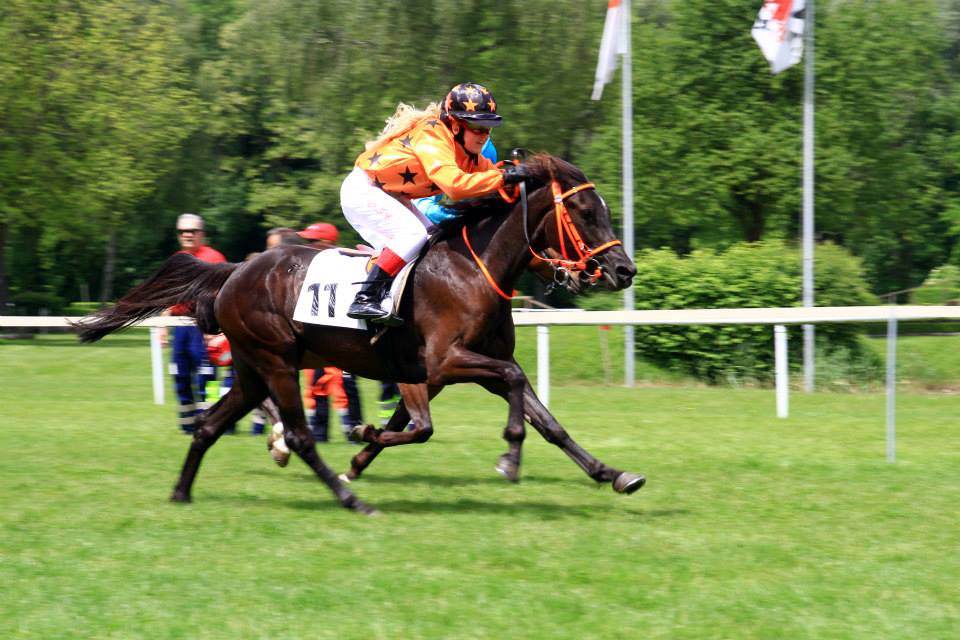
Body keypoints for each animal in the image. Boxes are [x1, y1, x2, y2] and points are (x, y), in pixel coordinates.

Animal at [76, 154, 645, 515]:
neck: (472, 268)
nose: (624, 271)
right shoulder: (444, 361)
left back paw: (182, 492)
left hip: (253, 369)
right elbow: (492, 393)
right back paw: (350, 499)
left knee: (209, 425)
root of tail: (236, 269)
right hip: (276, 362)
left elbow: (544, 418)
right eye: (586, 213)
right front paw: (508, 457)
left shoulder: (446, 369)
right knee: (298, 434)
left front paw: (614, 474)